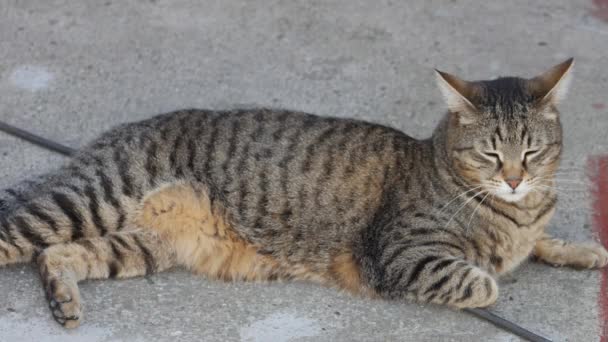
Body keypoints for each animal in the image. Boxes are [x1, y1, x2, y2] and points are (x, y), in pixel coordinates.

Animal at [1, 58, 608, 328]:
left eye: (533, 151)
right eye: (491, 154)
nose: (514, 178)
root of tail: (107, 137)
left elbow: (542, 241)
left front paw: (580, 250)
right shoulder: (402, 257)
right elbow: (484, 282)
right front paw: (495, 270)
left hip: (144, 245)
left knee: (56, 255)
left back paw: (63, 300)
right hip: (92, 200)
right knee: (19, 237)